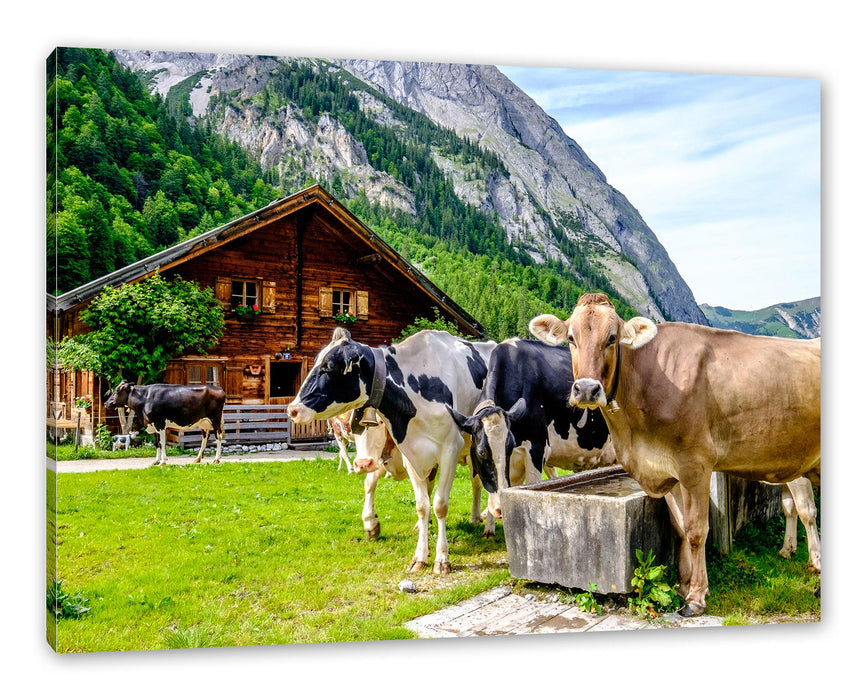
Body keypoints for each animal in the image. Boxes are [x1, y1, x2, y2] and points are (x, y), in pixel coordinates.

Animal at [287, 327, 497, 573]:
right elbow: (422, 505)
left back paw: (488, 525)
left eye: (329, 367)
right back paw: (475, 518)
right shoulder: (411, 454)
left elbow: (440, 505)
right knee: (475, 483)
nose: (292, 409)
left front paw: (442, 559)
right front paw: (419, 555)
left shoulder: (450, 450)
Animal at [530, 292, 820, 617]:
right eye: (571, 338)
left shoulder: (695, 465)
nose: (587, 389)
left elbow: (696, 530)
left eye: (612, 338)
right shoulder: (667, 470)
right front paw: (683, 585)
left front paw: (696, 596)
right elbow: (680, 528)